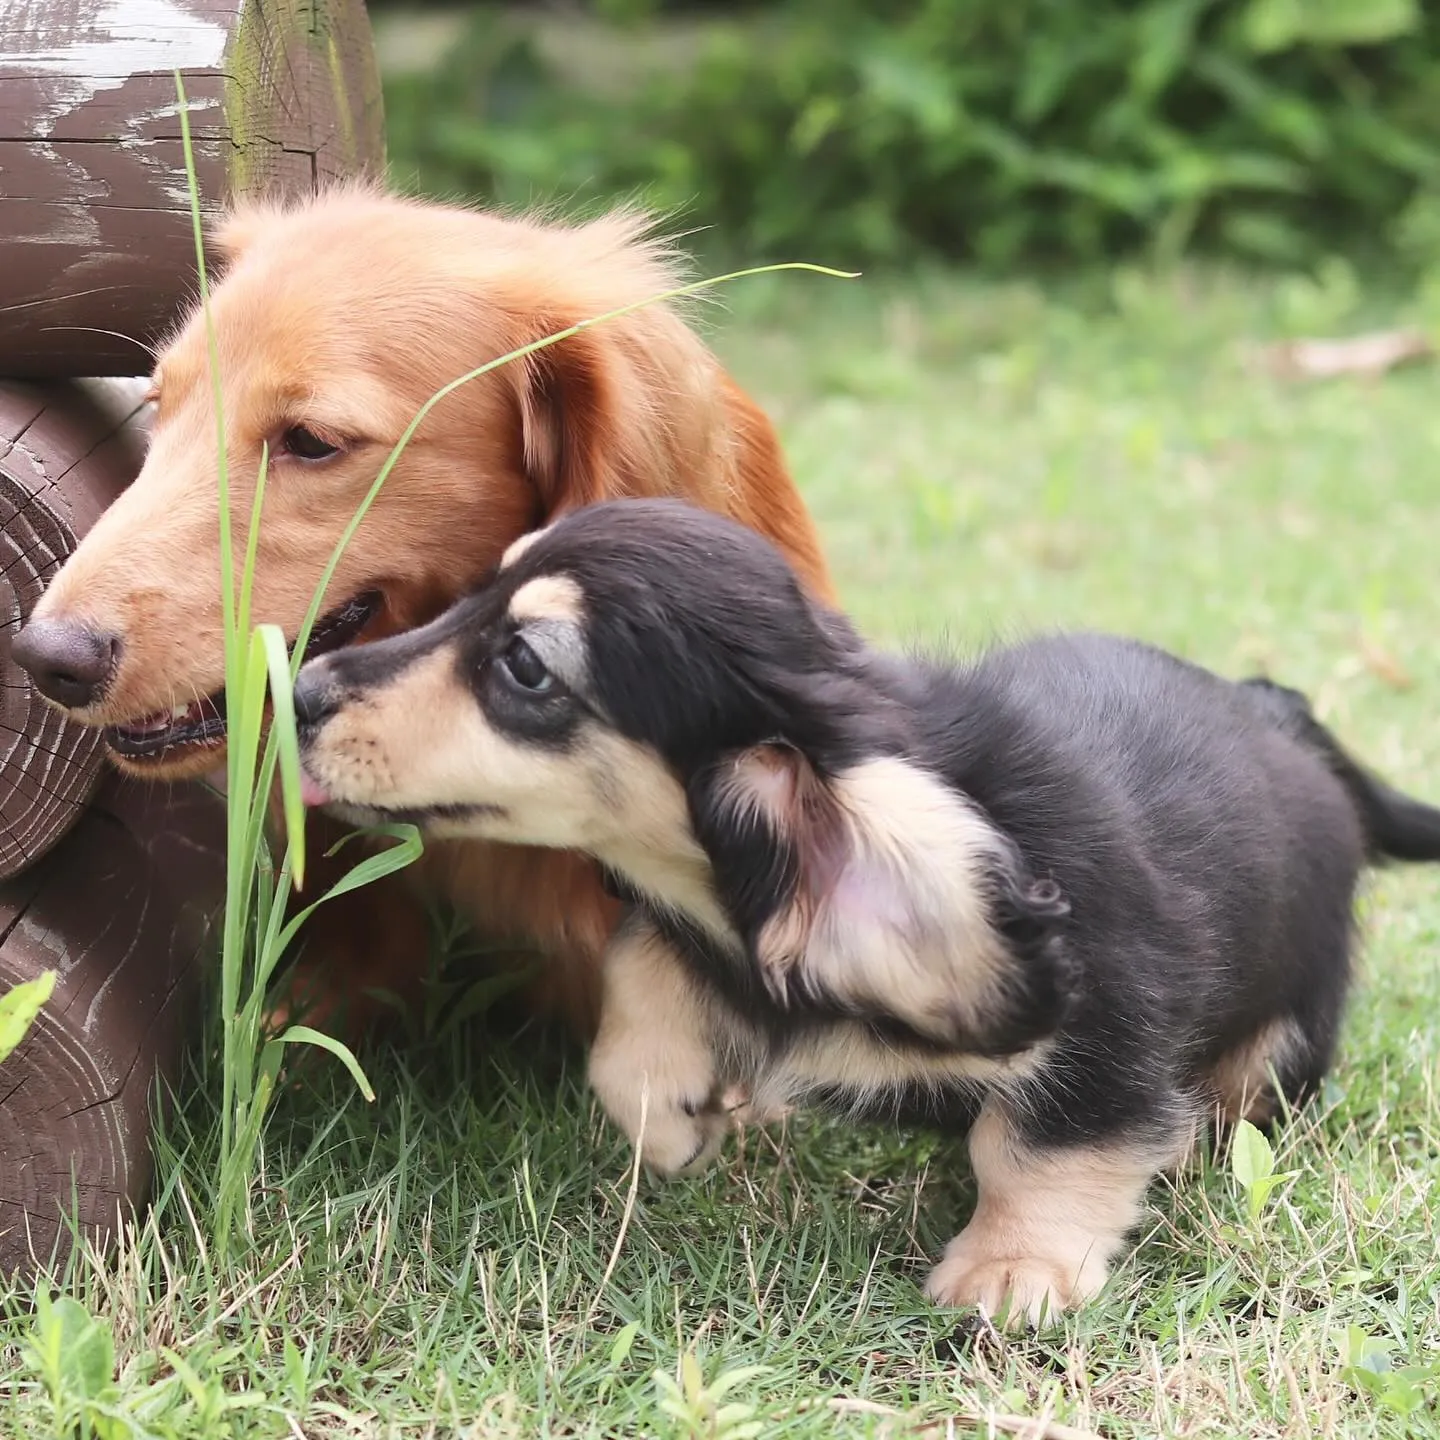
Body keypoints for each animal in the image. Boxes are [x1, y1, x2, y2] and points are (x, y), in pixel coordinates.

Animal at [289, 498, 1440, 1324]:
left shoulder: (1106, 1040)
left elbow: (1038, 1145)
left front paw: (1011, 1268)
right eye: (475, 590)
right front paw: (674, 1113)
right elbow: (640, 994)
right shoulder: (690, 930)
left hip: (1285, 1039)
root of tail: (1273, 713)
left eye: (524, 666)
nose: (297, 689)